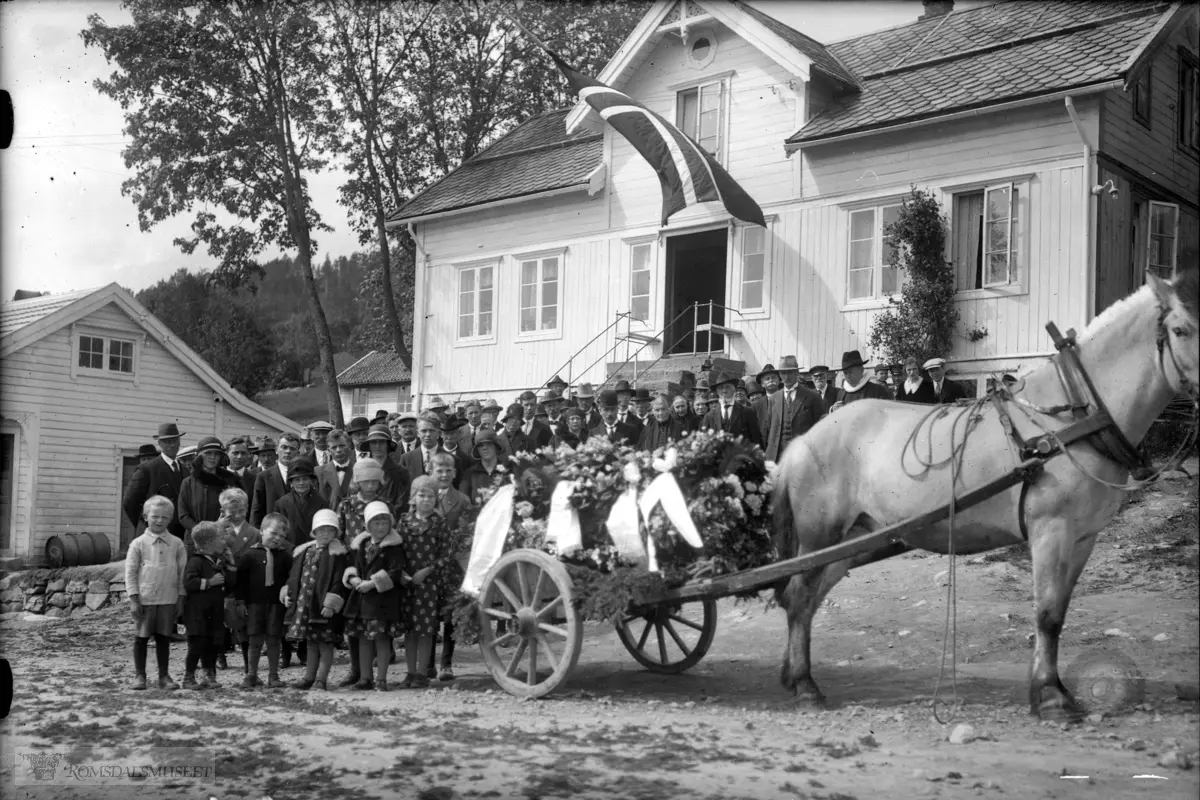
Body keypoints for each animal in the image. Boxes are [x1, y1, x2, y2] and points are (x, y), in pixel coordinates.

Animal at [772, 268, 1195, 719]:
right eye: (1181, 329)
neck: (1070, 421)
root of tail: (803, 441)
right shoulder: (1051, 531)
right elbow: (1046, 614)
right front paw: (1050, 694)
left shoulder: (1083, 538)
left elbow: (1059, 613)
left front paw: (1049, 688)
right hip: (820, 535)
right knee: (800, 597)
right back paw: (804, 684)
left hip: (853, 539)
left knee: (808, 599)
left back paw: (793, 674)